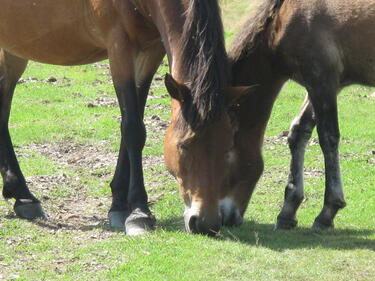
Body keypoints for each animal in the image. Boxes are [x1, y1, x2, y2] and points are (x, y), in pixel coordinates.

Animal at [0, 1, 250, 235]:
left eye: (228, 147)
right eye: (183, 146)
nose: (205, 222)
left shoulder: (151, 51)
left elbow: (134, 123)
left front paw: (119, 204)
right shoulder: (119, 48)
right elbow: (133, 129)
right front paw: (139, 212)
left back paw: (22, 196)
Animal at [226, 0, 375, 229]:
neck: (284, 19)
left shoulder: (321, 79)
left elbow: (328, 137)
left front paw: (327, 212)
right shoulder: (325, 84)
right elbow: (299, 131)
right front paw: (288, 210)